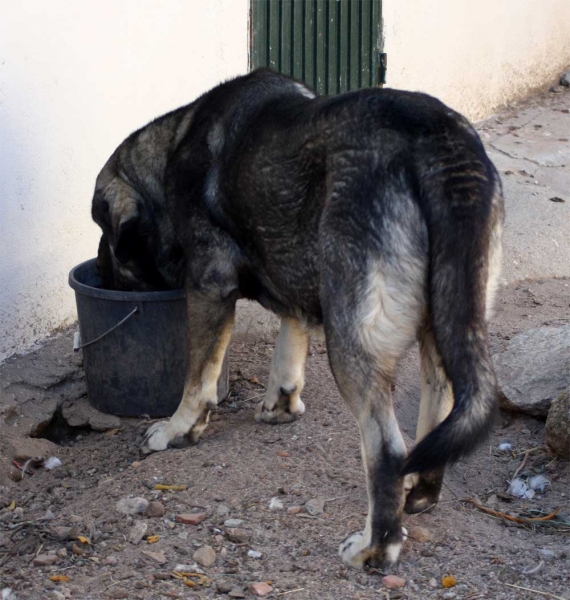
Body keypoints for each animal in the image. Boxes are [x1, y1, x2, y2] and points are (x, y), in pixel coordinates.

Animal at [92, 68, 502, 568]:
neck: (173, 143)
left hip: (351, 342)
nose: (100, 271)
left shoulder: (209, 286)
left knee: (385, 449)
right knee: (437, 406)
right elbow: (289, 346)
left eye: (106, 236)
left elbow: (197, 379)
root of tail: (437, 138)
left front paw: (178, 429)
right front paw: (281, 405)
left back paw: (375, 546)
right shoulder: (294, 284)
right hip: (446, 324)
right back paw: (419, 491)